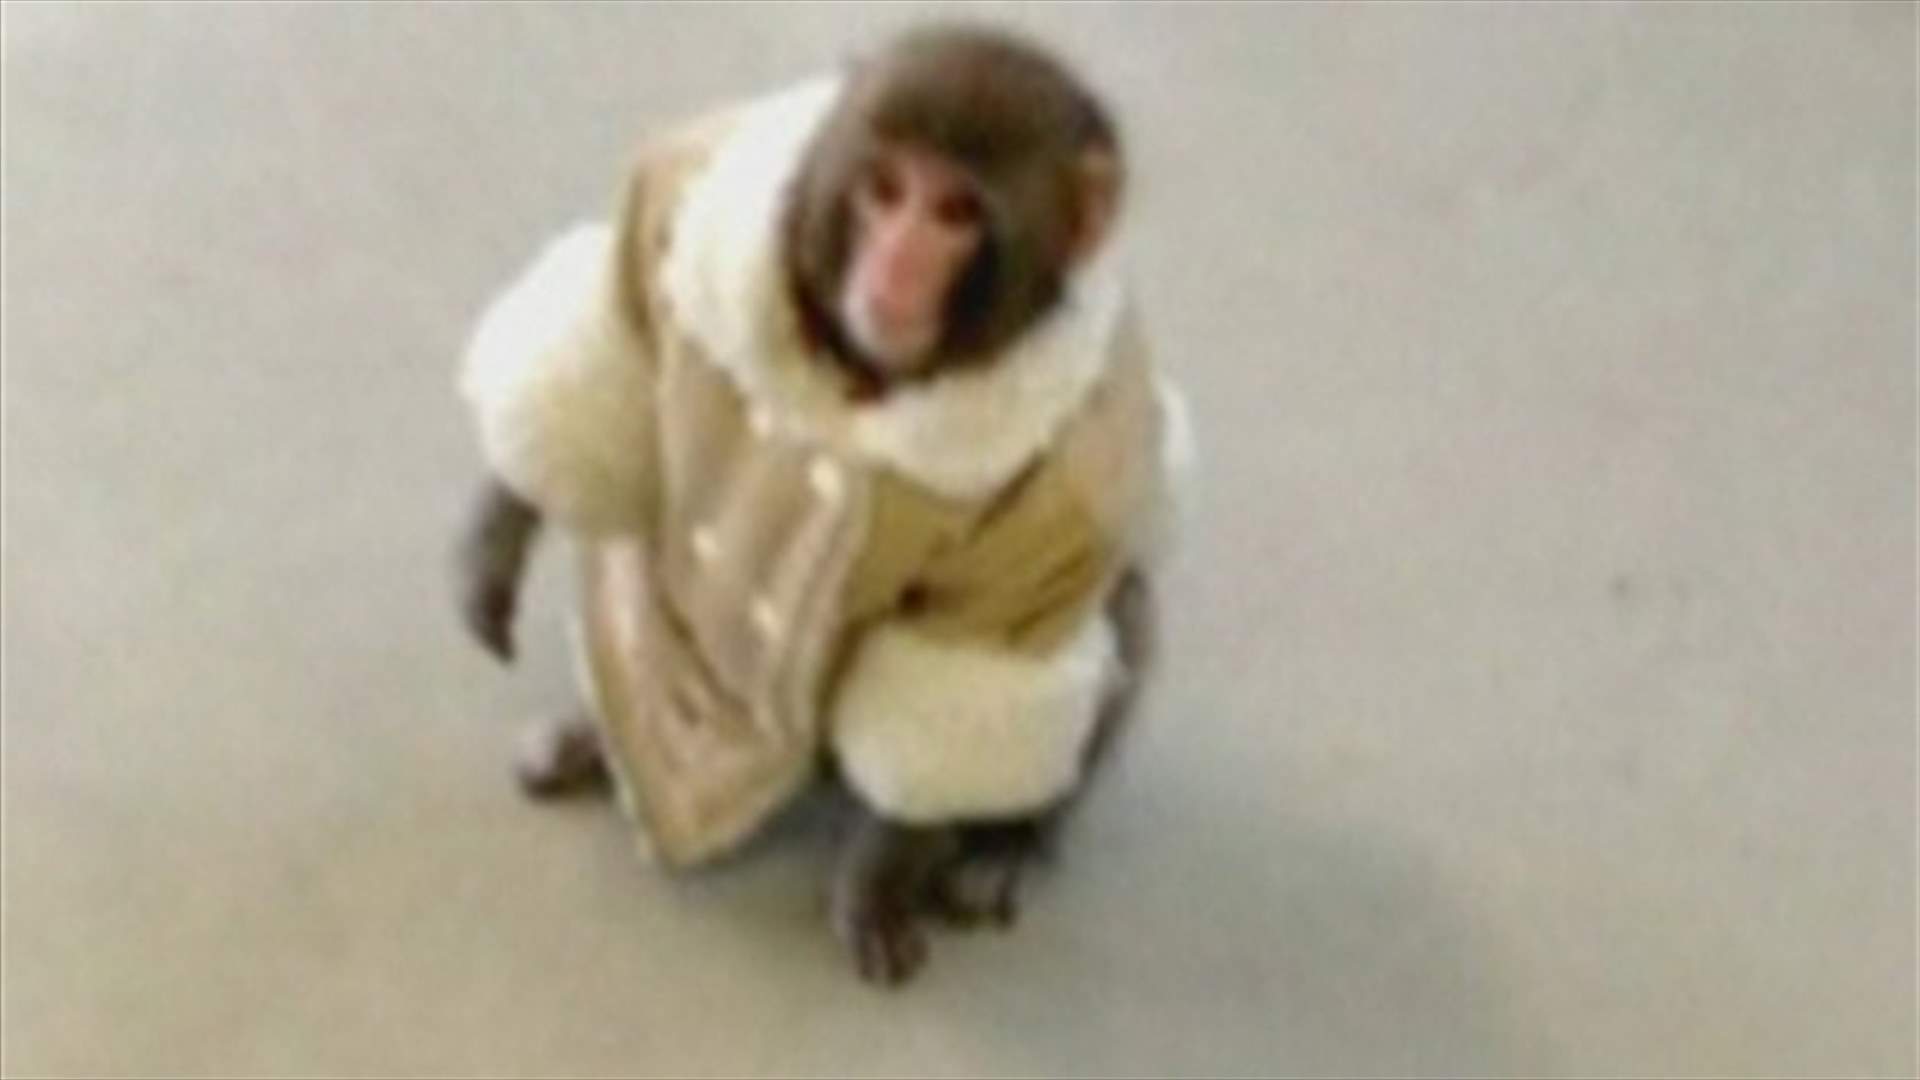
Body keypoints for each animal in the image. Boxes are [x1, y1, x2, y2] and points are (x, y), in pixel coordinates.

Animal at [453, 24, 1190, 986]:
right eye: (886, 190)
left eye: (956, 211)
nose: (895, 267)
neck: (857, 376)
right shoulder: (679, 196)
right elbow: (618, 341)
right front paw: (494, 536)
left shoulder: (1068, 496)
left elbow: (957, 675)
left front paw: (877, 883)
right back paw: (597, 736)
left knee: (1115, 629)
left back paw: (1008, 843)